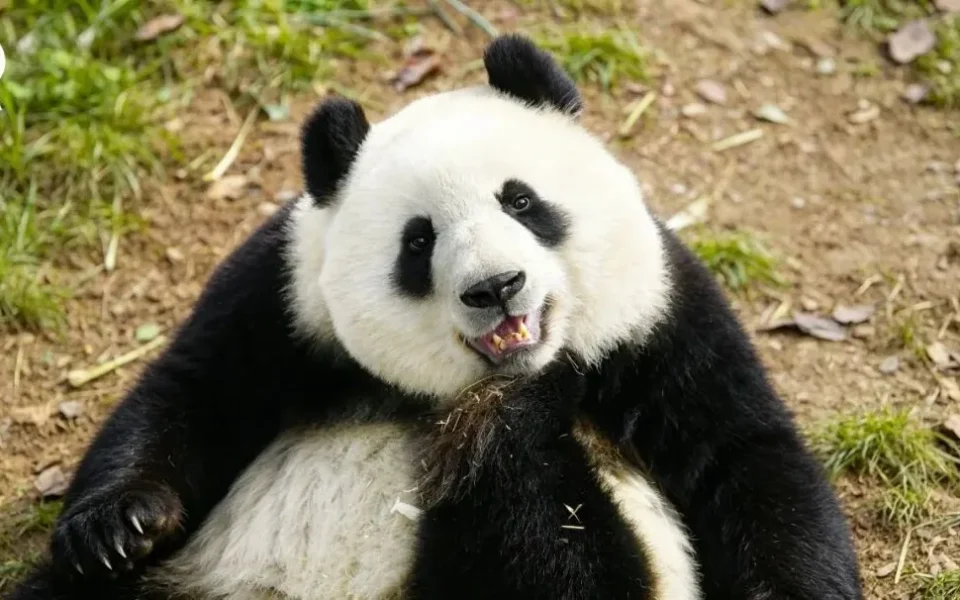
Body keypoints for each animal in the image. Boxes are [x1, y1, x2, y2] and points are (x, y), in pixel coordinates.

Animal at [8, 34, 863, 600]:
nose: (497, 286)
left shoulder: (660, 313)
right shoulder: (285, 294)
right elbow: (193, 392)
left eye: (521, 200)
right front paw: (116, 528)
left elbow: (744, 456)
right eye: (418, 241)